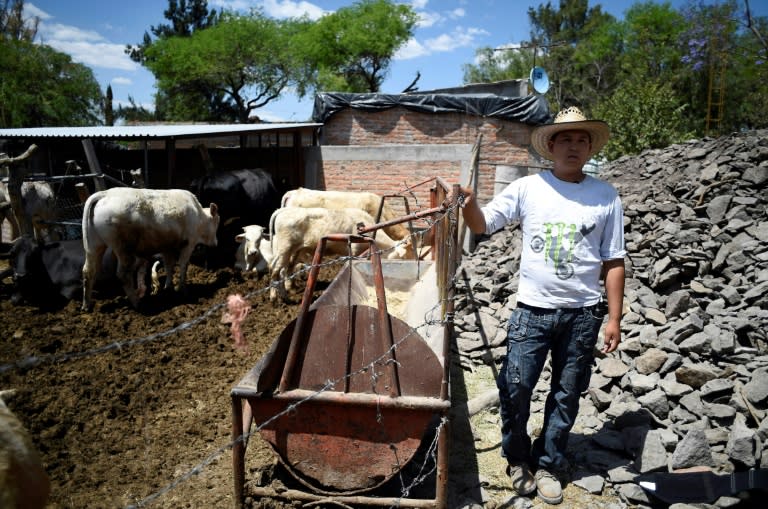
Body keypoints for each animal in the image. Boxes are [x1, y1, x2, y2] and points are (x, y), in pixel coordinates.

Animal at [81, 186, 219, 308]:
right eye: (217, 223)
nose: (216, 243)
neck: (199, 216)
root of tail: (104, 194)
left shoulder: (167, 246)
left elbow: (169, 265)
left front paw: (168, 287)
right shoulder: (189, 243)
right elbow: (183, 264)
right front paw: (183, 290)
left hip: (94, 245)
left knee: (89, 271)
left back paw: (87, 305)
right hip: (123, 249)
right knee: (123, 274)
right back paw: (137, 303)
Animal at [270, 206, 414, 300]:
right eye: (402, 257)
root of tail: (284, 210)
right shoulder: (355, 250)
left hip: (295, 250)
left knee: (287, 268)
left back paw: (291, 289)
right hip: (285, 248)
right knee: (275, 270)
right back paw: (277, 297)